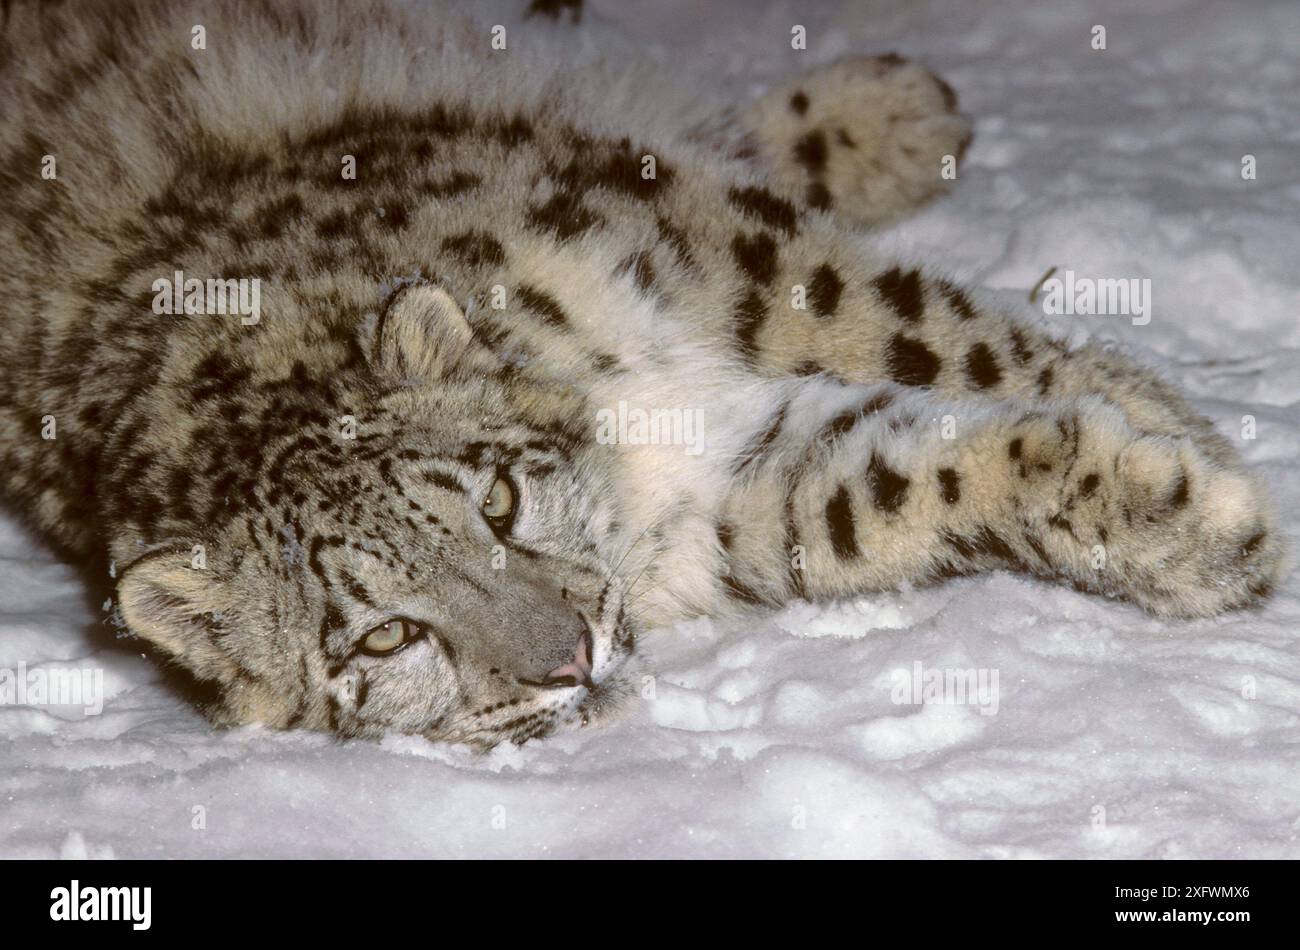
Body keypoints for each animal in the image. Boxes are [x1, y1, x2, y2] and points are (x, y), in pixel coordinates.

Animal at [0, 0, 1284, 748]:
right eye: (381, 638)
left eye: (497, 501)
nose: (568, 653)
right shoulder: (733, 497)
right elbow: (874, 488)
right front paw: (1185, 518)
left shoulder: (727, 262)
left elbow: (931, 337)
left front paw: (1194, 448)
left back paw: (899, 109)